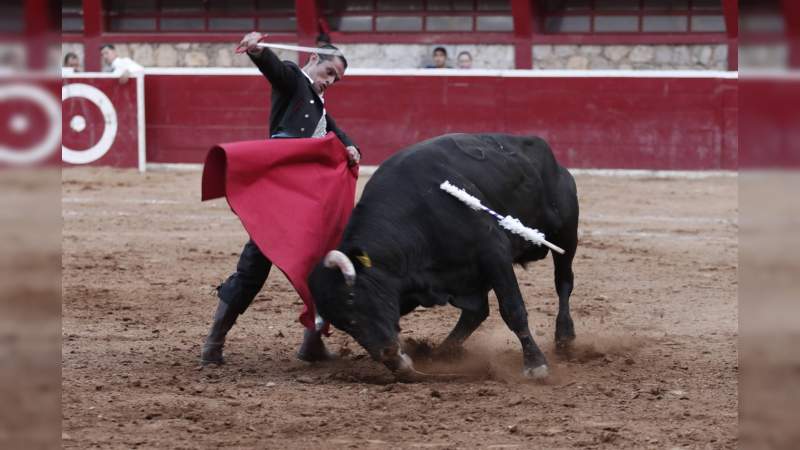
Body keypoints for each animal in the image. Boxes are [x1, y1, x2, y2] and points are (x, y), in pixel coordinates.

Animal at [310, 134, 580, 380]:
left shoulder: (494, 252)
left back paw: (565, 338)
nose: (387, 354)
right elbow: (478, 311)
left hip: (566, 234)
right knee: (476, 313)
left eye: (352, 297)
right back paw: (440, 354)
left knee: (563, 282)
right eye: (339, 322)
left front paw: (535, 365)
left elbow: (513, 309)